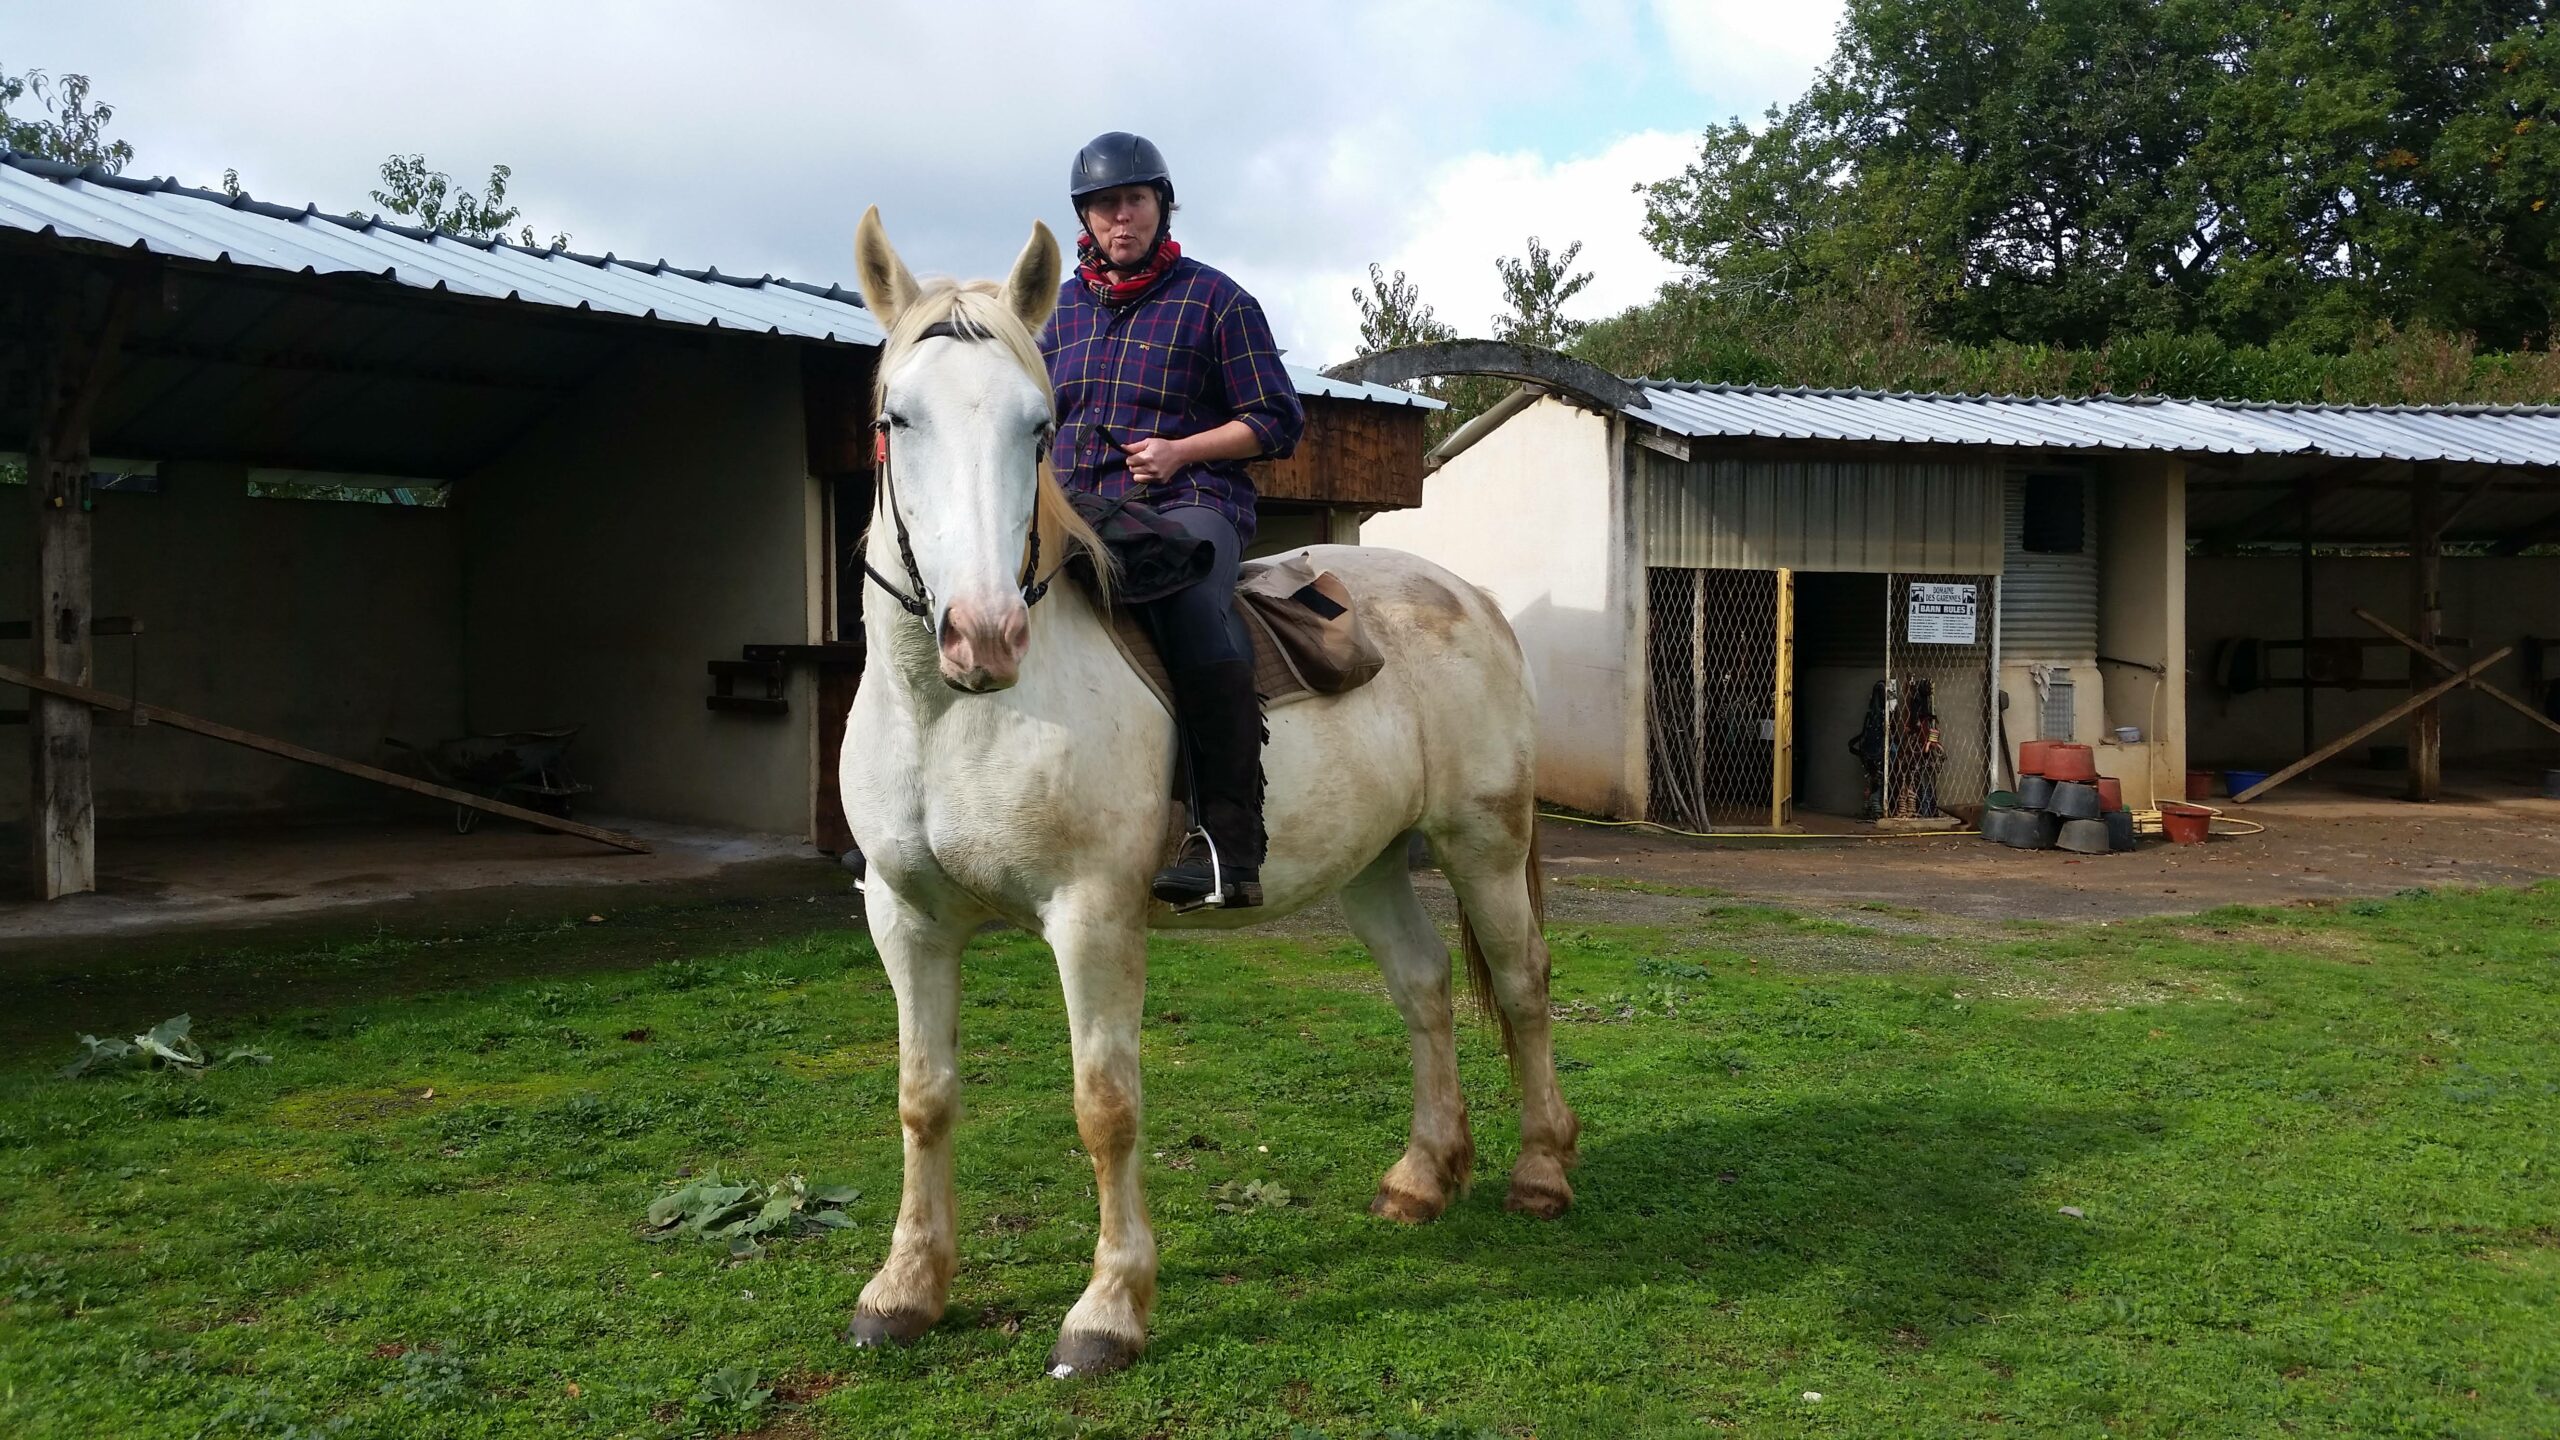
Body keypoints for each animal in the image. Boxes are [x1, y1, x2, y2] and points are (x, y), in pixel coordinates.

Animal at [837, 208, 1578, 1378]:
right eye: (895, 418)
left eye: (1038, 427)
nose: (983, 635)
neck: (950, 719)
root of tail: (1467, 592)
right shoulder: (906, 920)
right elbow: (923, 1098)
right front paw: (905, 1289)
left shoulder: (1092, 918)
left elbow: (1105, 1108)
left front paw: (1108, 1310)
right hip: (1372, 864)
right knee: (1422, 987)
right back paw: (1422, 1177)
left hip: (1485, 846)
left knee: (1520, 986)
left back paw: (1540, 1172)